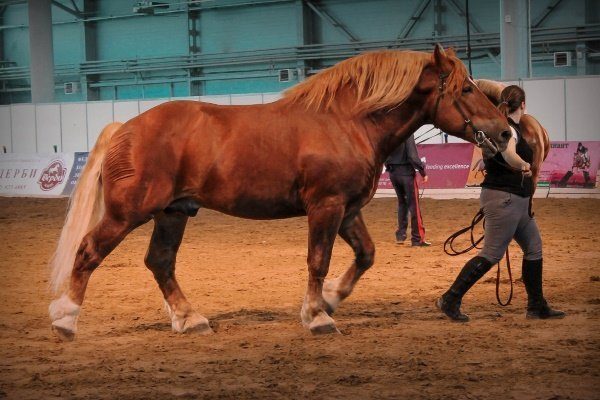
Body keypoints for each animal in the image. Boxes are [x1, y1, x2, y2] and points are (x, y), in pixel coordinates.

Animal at [48, 47, 510, 340]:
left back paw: (189, 318)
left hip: (173, 212)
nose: (505, 132)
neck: (345, 121)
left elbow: (365, 255)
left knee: (160, 262)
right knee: (88, 252)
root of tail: (124, 128)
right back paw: (66, 320)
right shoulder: (325, 206)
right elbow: (318, 260)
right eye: (466, 89)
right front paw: (318, 317)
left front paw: (329, 301)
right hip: (129, 213)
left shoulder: (347, 210)